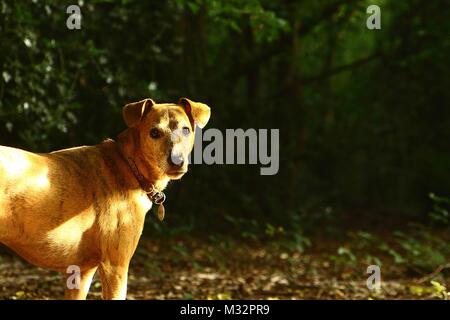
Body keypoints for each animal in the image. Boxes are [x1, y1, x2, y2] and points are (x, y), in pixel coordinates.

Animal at [0, 98, 210, 300]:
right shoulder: (115, 266)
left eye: (186, 129)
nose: (177, 162)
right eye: (154, 132)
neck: (129, 166)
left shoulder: (81, 272)